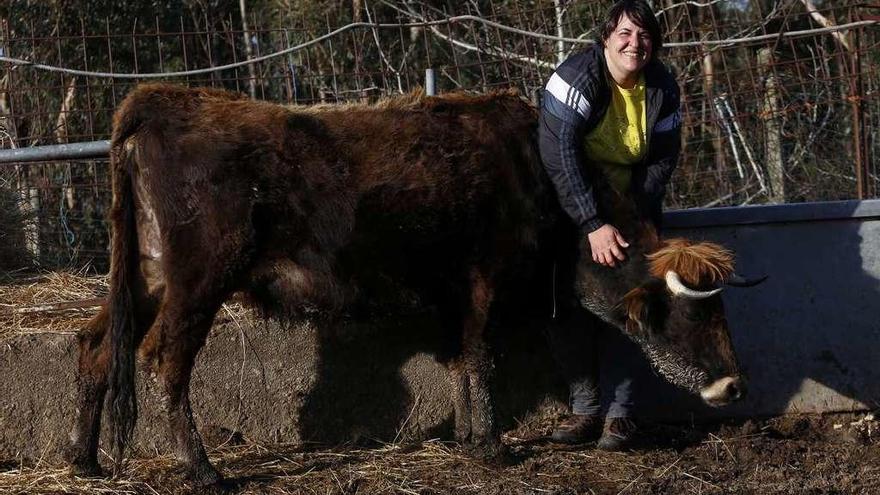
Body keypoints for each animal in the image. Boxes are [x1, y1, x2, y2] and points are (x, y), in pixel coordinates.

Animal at [67, 86, 756, 488]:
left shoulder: (460, 295)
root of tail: (165, 98)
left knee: (96, 346)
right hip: (198, 281)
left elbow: (461, 361)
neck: (535, 172)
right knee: (165, 358)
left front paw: (467, 434)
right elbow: (481, 357)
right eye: (693, 313)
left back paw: (84, 458)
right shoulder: (484, 280)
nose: (733, 385)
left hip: (146, 276)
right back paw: (203, 469)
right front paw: (490, 447)